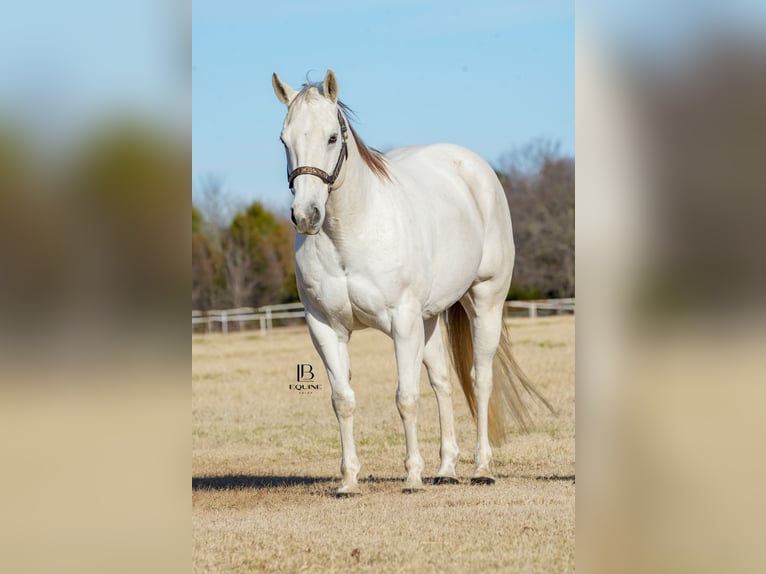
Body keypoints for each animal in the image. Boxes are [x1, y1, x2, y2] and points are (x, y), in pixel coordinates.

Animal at [272, 71, 548, 496]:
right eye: (284, 139)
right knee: (443, 383)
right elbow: (343, 400)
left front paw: (412, 476)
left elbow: (405, 397)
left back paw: (481, 467)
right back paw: (447, 468)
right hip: (429, 319)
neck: (350, 232)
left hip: (484, 301)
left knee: (480, 380)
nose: (306, 216)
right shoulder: (325, 328)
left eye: (332, 137)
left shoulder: (401, 322)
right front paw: (349, 481)